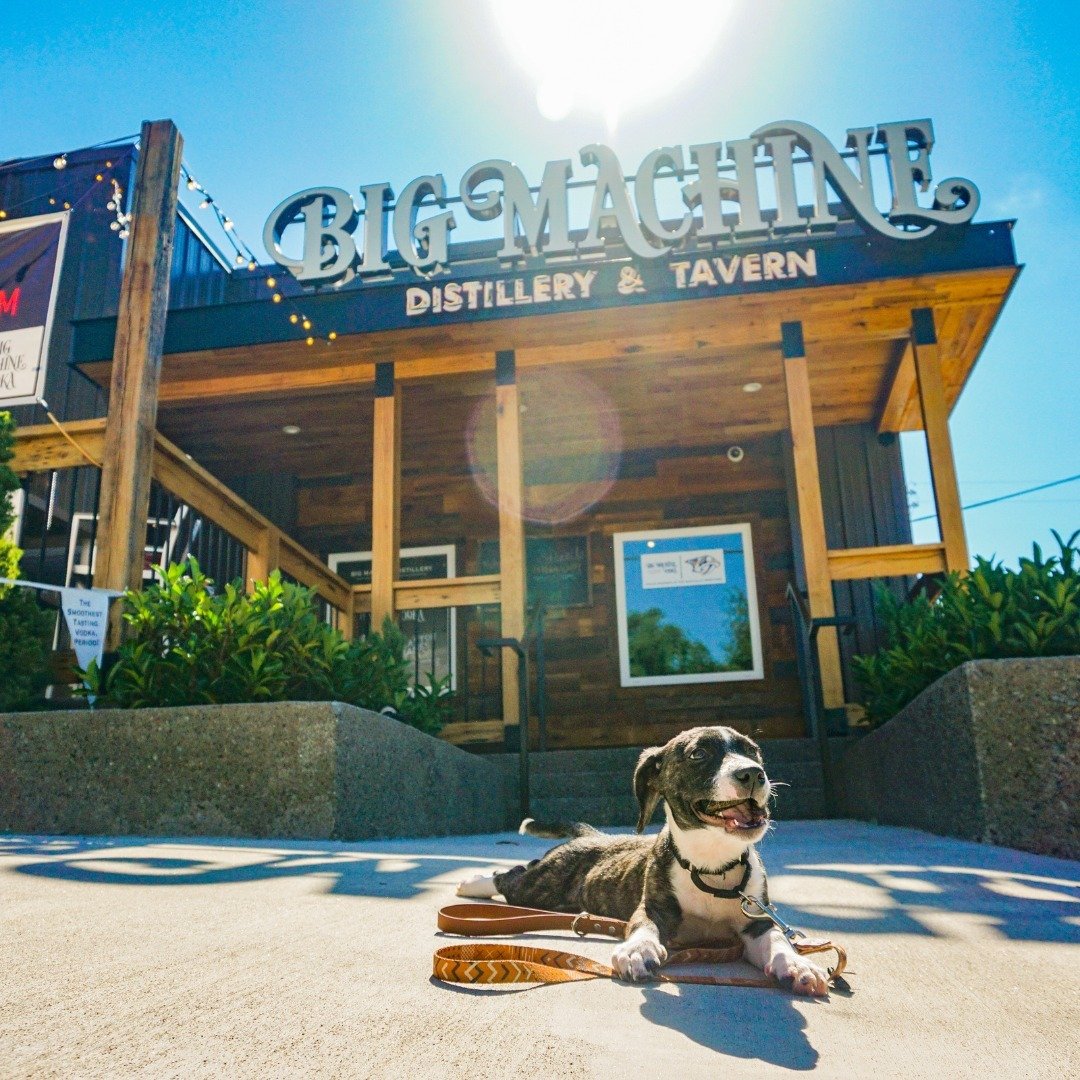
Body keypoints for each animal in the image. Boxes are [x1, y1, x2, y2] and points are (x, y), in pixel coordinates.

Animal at [455, 725, 825, 993]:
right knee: (515, 875)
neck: (712, 866)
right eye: (699, 753)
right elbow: (643, 926)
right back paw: (473, 882)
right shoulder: (652, 908)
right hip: (541, 885)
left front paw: (797, 964)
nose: (753, 773)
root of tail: (592, 836)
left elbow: (777, 939)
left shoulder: (757, 921)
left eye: (753, 751)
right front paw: (638, 950)